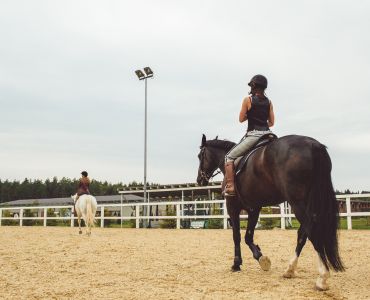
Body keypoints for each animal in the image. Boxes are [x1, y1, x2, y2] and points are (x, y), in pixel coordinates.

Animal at [197, 134, 344, 290]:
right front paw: (261, 258)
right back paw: (290, 270)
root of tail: (313, 145)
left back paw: (322, 277)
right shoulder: (254, 208)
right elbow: (248, 237)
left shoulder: (232, 207)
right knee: (302, 235)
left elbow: (237, 236)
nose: (199, 180)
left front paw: (237, 263)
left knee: (312, 232)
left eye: (200, 156)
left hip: (297, 203)